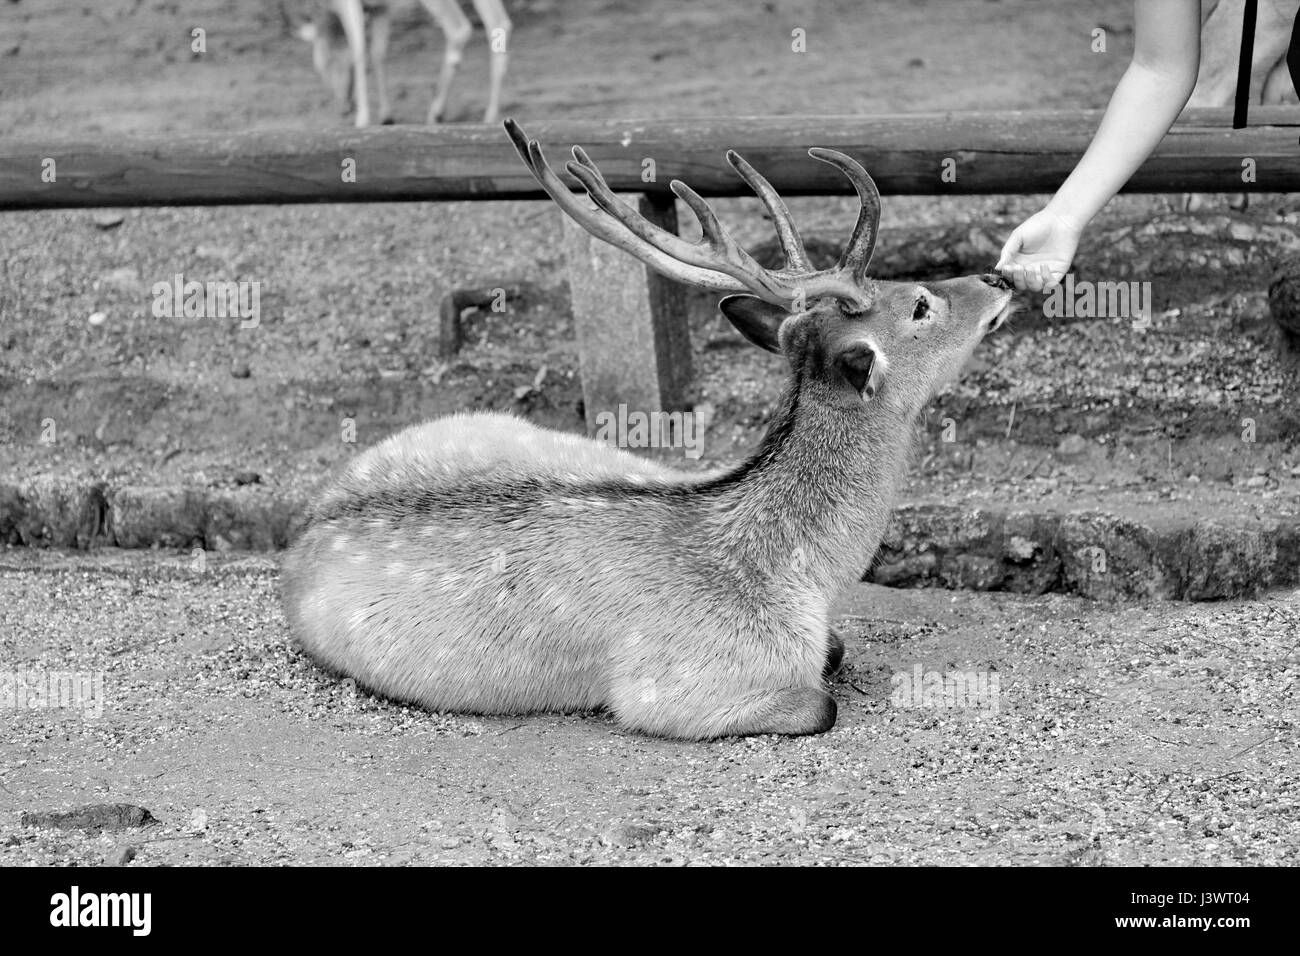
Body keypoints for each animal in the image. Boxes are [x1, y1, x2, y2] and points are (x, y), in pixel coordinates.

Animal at [279, 119, 1014, 741]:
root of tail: (307, 521)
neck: (801, 579)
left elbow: (836, 649)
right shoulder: (672, 688)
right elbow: (820, 703)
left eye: (905, 284)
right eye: (920, 304)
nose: (998, 276)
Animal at [298, 0, 511, 127]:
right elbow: (378, 53)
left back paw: (436, 113)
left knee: (459, 28)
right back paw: (490, 115)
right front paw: (386, 116)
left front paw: (362, 119)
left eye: (323, 65)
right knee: (500, 23)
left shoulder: (350, 4)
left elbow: (359, 51)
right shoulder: (381, 8)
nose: (344, 108)